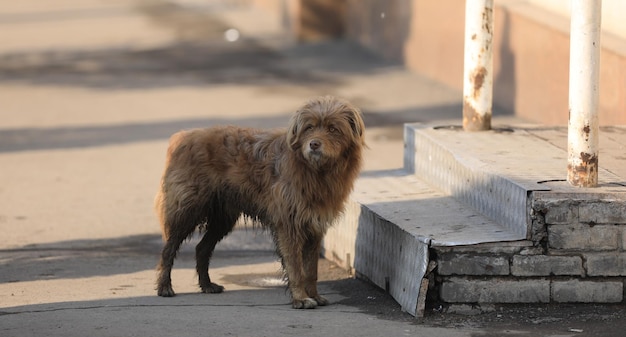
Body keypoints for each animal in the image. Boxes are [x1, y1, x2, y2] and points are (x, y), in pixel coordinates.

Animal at [153, 95, 364, 308]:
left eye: (333, 129)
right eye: (309, 127)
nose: (313, 144)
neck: (314, 170)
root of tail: (182, 137)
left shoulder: (314, 227)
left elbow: (311, 269)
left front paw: (314, 295)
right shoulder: (288, 225)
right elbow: (296, 267)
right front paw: (301, 298)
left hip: (222, 219)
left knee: (202, 248)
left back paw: (207, 285)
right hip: (187, 211)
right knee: (168, 250)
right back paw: (164, 287)